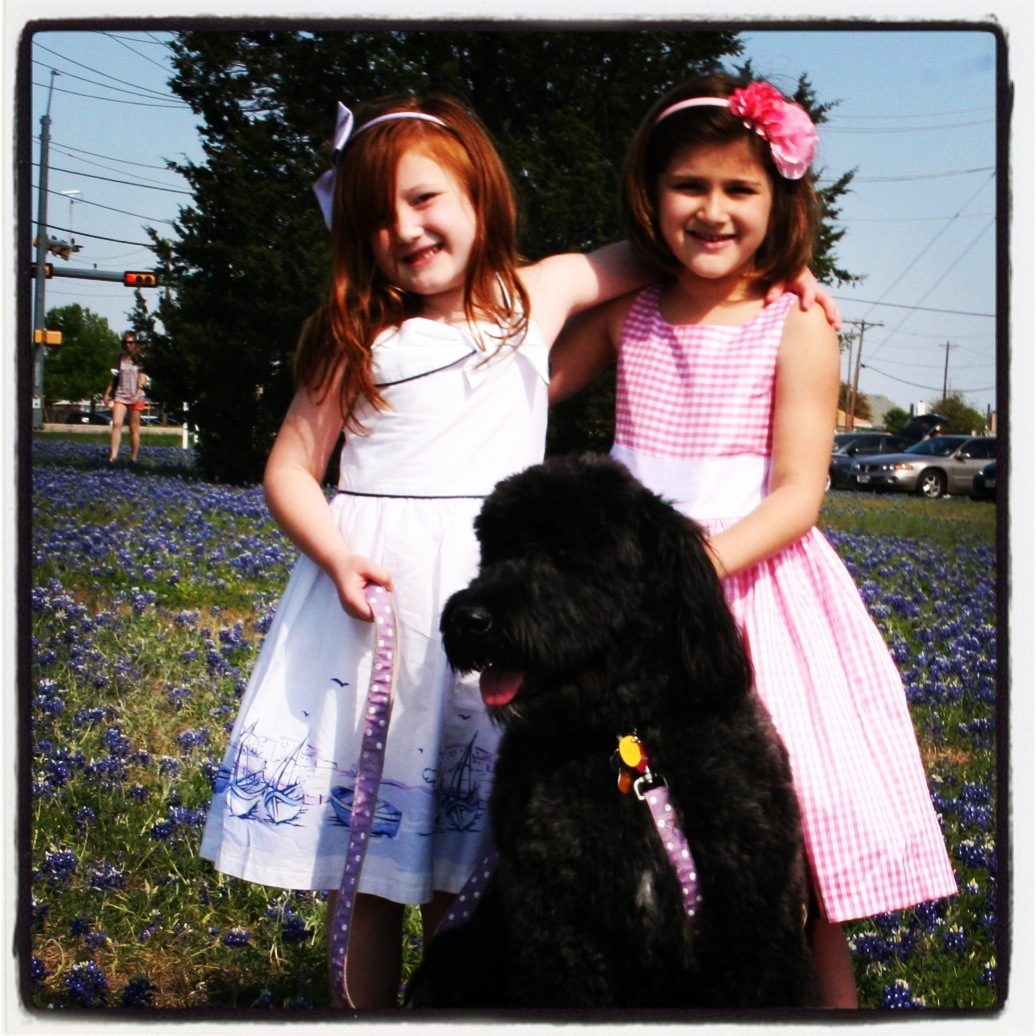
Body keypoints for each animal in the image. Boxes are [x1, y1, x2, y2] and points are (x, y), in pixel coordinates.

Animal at [406, 454, 816, 1009]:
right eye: (493, 552)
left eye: (566, 554)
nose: (469, 619)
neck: (627, 736)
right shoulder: (558, 931)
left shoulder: (756, 925)